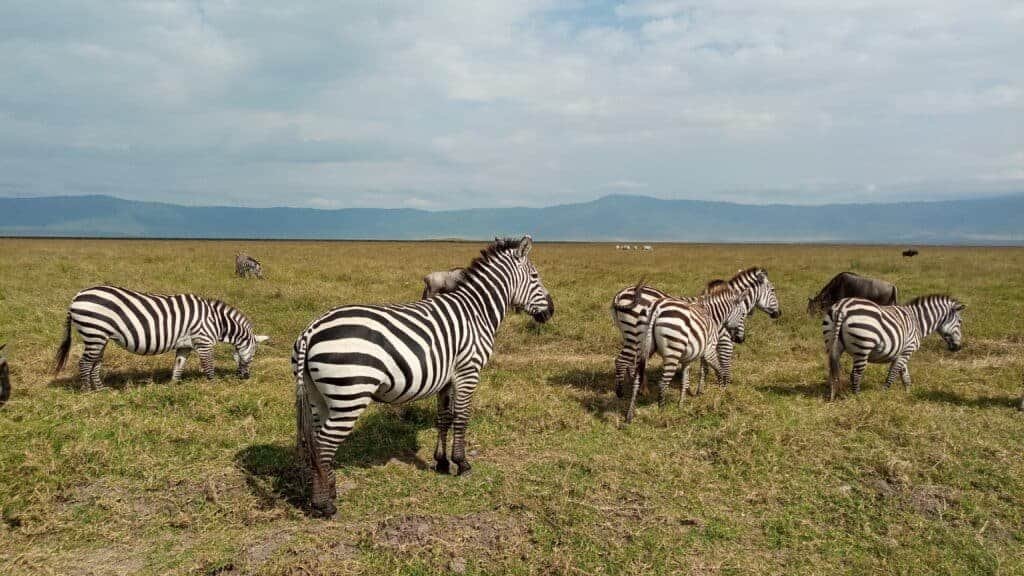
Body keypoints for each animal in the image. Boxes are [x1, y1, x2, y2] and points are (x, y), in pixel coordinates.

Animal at [53, 286, 269, 389]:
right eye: (254, 354)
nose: (245, 377)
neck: (217, 321)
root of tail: (76, 297)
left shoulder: (185, 345)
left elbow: (178, 365)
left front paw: (173, 385)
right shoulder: (203, 341)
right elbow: (209, 366)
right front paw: (213, 385)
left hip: (99, 336)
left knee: (95, 363)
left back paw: (101, 389)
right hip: (94, 332)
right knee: (85, 363)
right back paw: (87, 391)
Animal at [292, 236, 554, 517]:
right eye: (536, 276)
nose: (551, 311)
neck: (477, 311)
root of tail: (310, 330)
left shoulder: (447, 378)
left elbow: (444, 418)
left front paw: (441, 462)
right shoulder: (468, 372)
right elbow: (461, 418)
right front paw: (462, 464)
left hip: (318, 396)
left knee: (315, 442)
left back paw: (328, 492)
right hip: (350, 394)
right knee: (324, 444)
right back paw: (325, 504)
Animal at [610, 267, 781, 399]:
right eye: (773, 290)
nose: (779, 313)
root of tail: (620, 294)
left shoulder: (705, 341)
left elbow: (704, 367)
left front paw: (700, 390)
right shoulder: (724, 342)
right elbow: (724, 365)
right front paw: (723, 388)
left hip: (632, 336)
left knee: (633, 362)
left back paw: (639, 388)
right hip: (635, 336)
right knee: (623, 361)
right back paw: (623, 392)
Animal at [623, 284, 755, 423]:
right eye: (743, 314)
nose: (741, 339)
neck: (713, 316)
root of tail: (655, 308)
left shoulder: (687, 359)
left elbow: (685, 381)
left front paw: (681, 405)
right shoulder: (709, 351)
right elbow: (718, 369)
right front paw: (721, 391)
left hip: (642, 346)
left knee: (636, 379)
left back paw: (629, 415)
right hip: (673, 352)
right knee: (662, 383)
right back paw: (662, 413)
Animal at [825, 295, 965, 401]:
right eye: (960, 322)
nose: (958, 347)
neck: (917, 322)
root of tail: (842, 307)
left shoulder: (902, 352)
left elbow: (905, 375)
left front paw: (908, 394)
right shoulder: (907, 350)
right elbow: (893, 374)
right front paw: (883, 395)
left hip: (832, 344)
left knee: (833, 372)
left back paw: (832, 396)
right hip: (863, 347)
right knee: (855, 374)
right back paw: (858, 398)